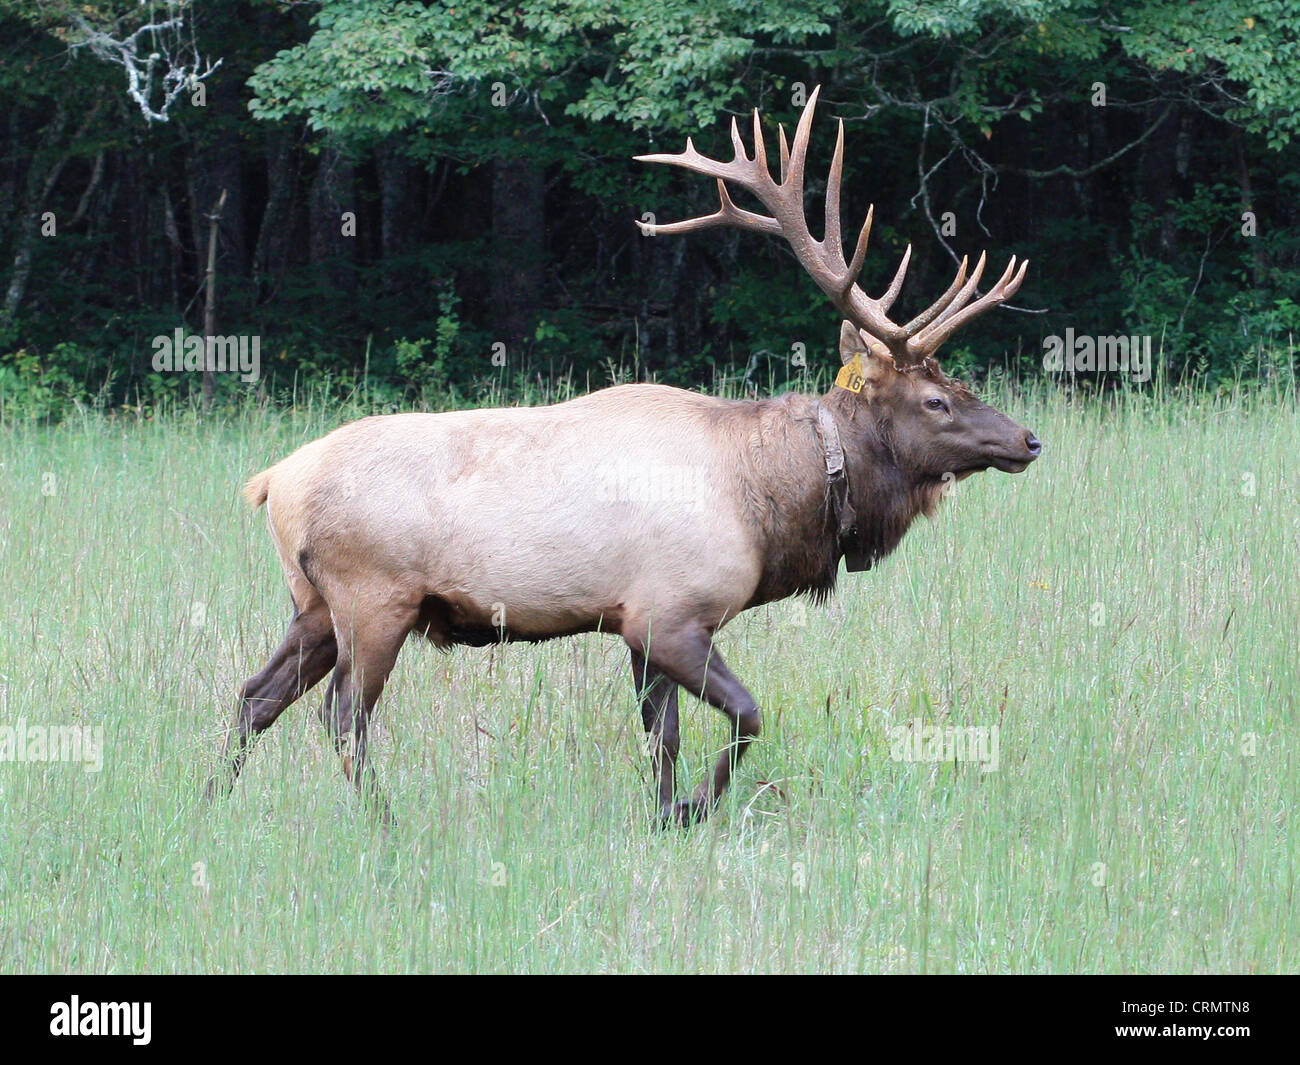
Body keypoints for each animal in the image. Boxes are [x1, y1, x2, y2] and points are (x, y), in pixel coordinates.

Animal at [210, 89, 1045, 827]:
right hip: (372, 597)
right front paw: (691, 810)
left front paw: (662, 815)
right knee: (341, 716)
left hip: (311, 604)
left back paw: (206, 803)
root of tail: (270, 483)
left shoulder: (633, 619)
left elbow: (660, 738)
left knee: (254, 694)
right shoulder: (670, 612)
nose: (1027, 439)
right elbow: (747, 714)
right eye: (934, 401)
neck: (771, 502)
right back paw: (384, 822)